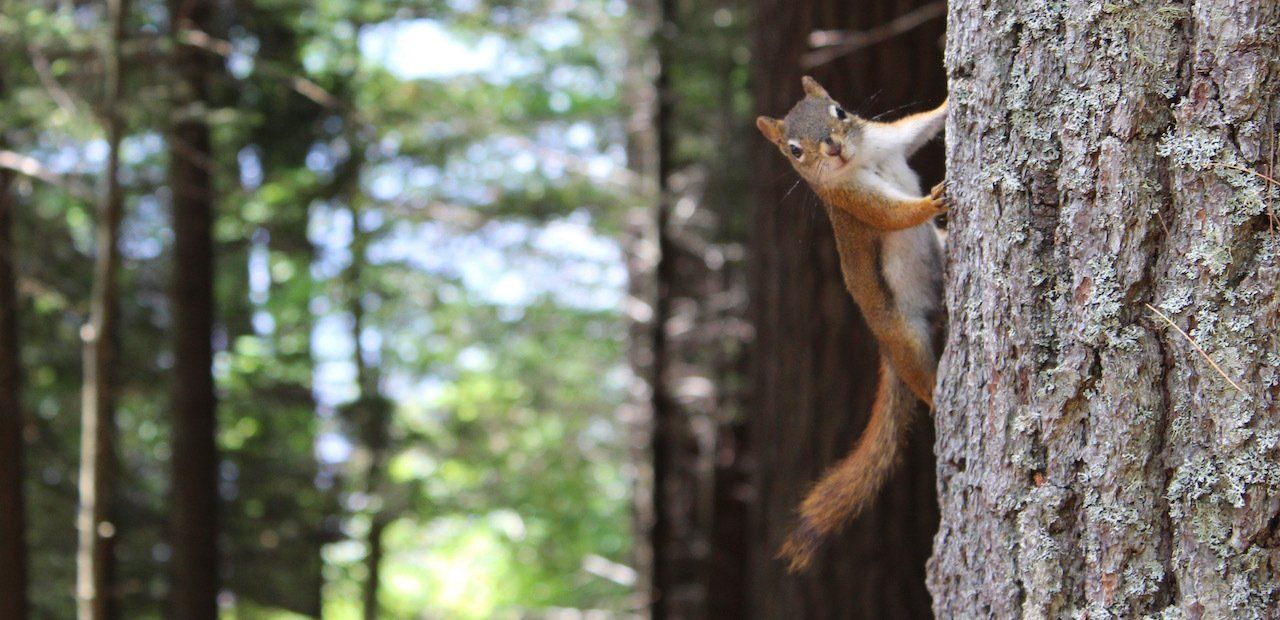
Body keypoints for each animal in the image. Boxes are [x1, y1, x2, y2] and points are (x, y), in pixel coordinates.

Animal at [756, 76, 948, 572]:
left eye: (839, 111)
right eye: (794, 151)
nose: (833, 148)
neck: (861, 159)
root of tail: (884, 347)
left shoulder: (889, 139)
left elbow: (920, 126)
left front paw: (950, 99)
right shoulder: (852, 201)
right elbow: (892, 215)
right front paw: (930, 202)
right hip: (903, 335)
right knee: (920, 378)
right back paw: (937, 396)